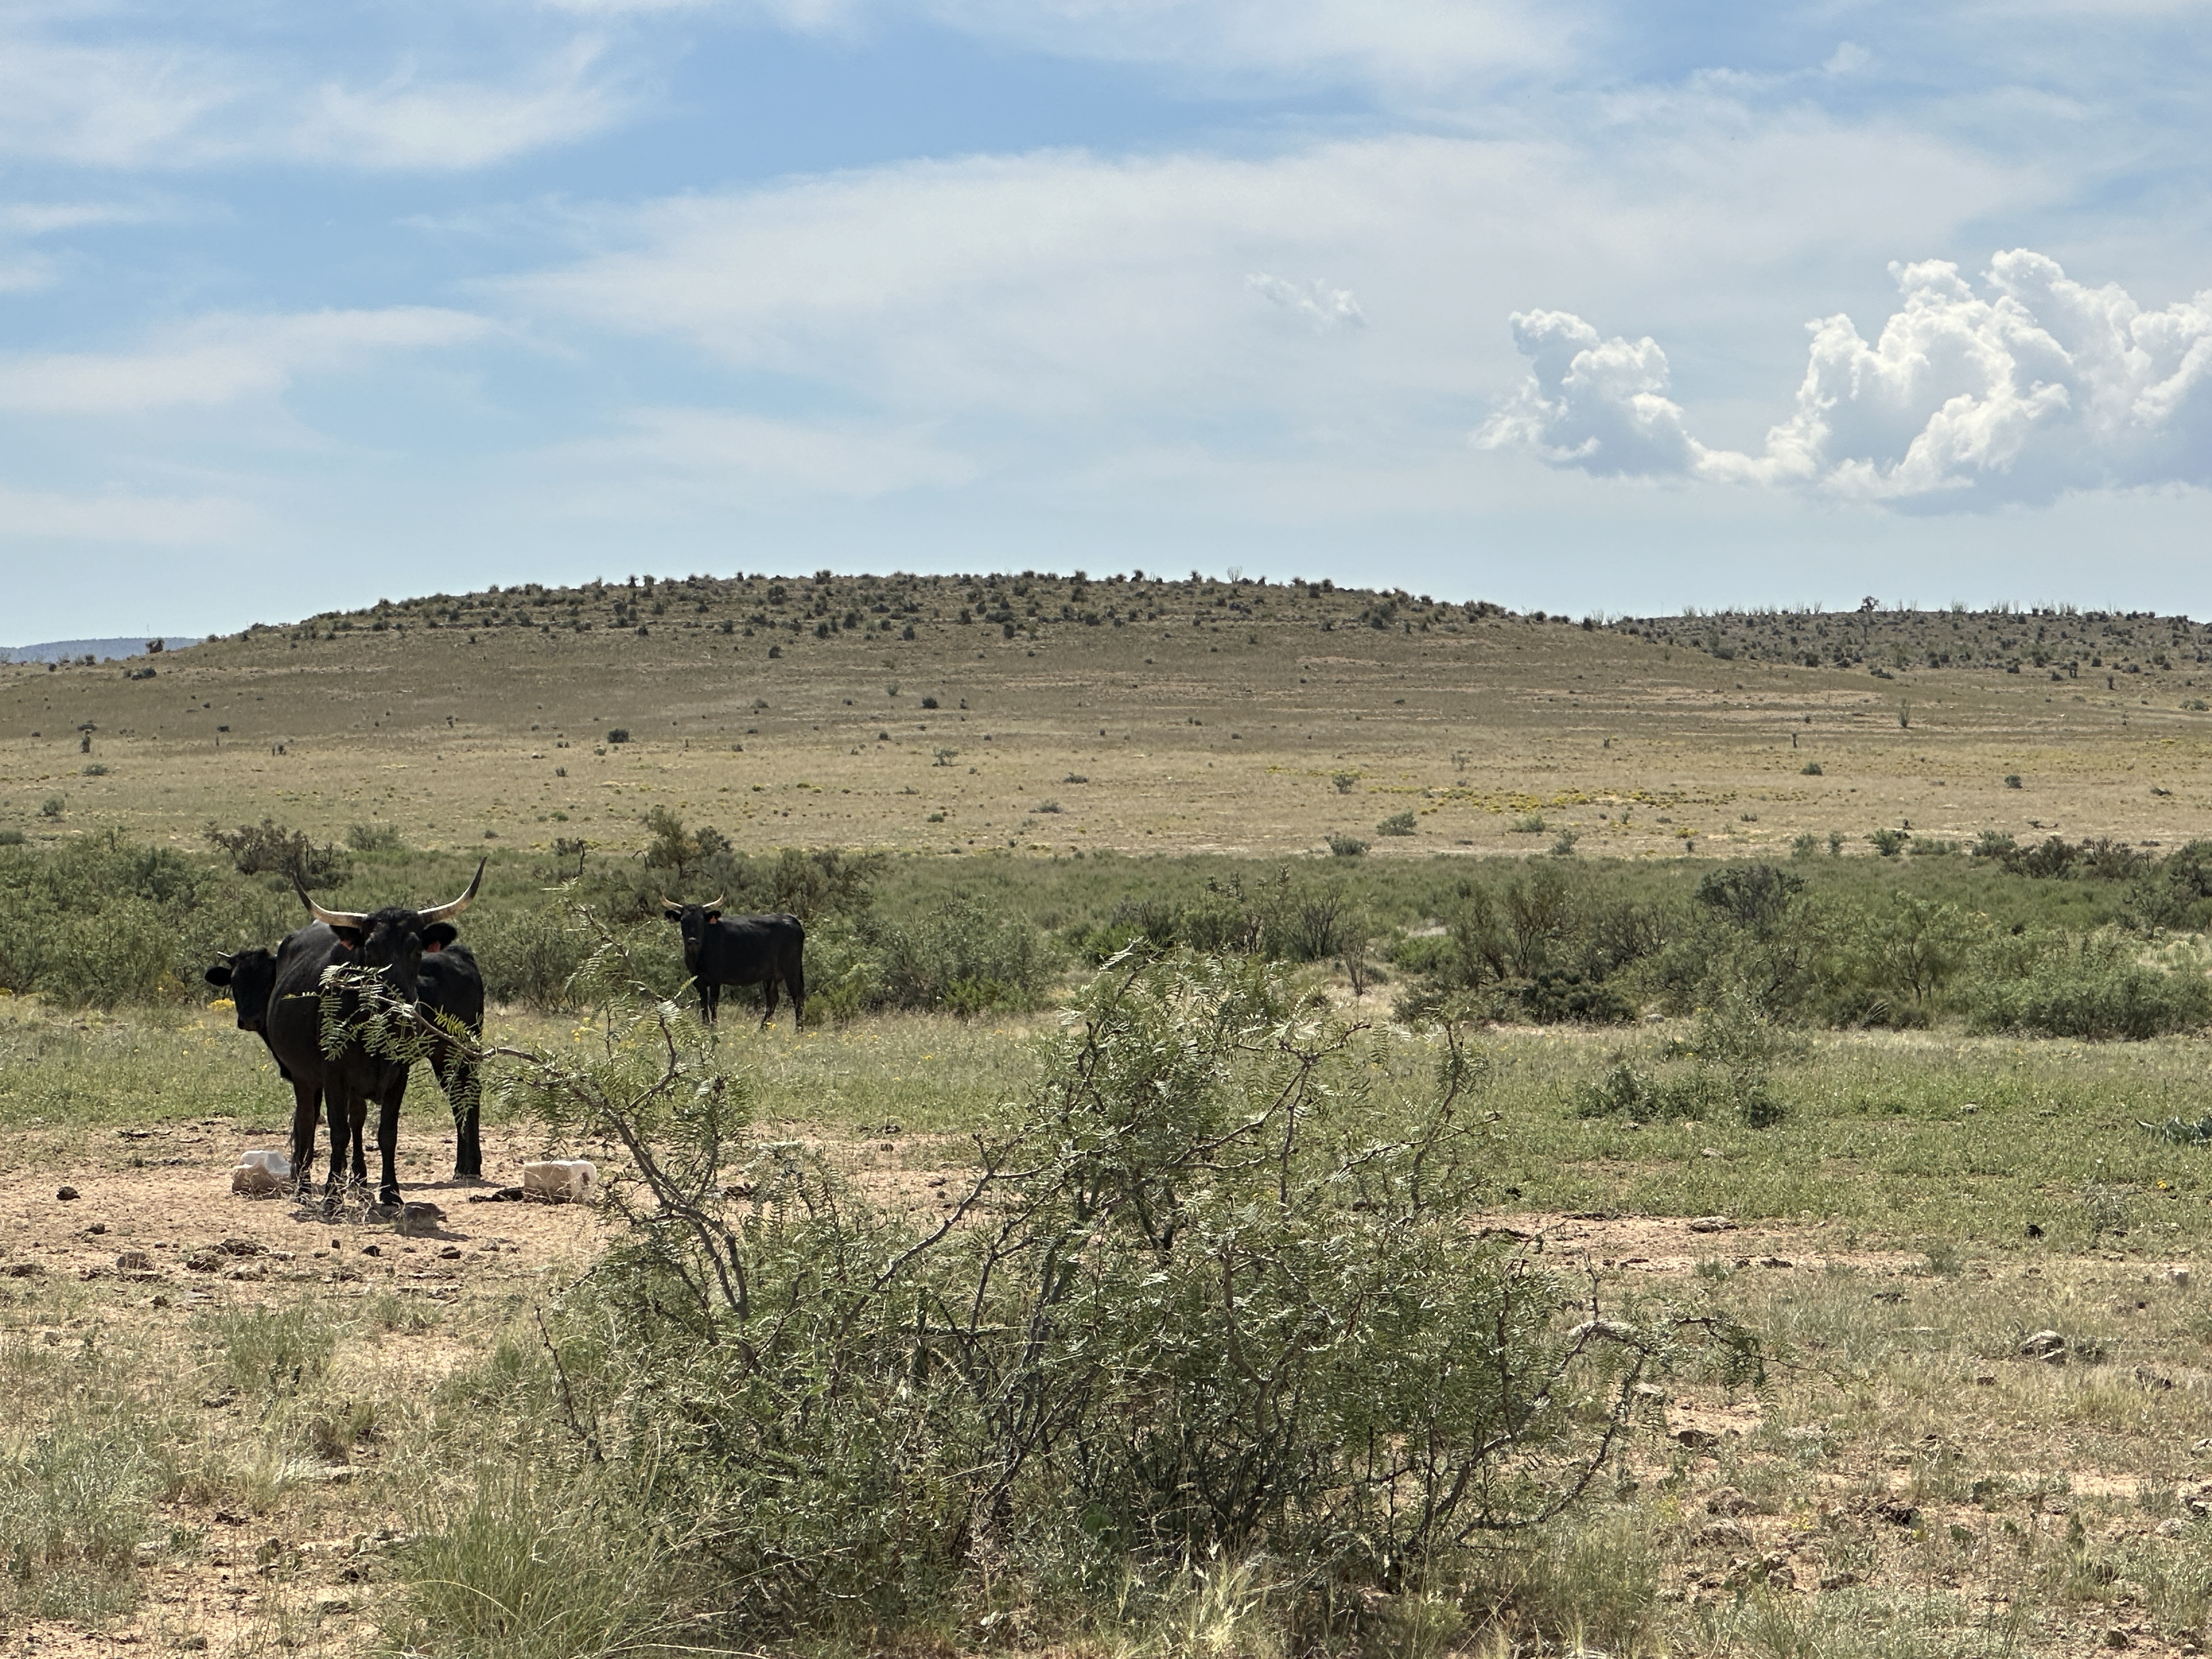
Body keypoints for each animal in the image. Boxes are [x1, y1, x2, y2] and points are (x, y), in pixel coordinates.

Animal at [262, 862, 483, 1207]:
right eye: (371, 949)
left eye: (416, 949)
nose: (396, 1001)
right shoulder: (334, 1074)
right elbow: (339, 1131)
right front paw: (333, 1194)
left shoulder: (399, 1073)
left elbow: (387, 1132)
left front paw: (390, 1192)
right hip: (305, 1076)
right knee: (309, 1121)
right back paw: (305, 1188)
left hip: (456, 1051)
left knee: (462, 1095)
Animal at [661, 898, 806, 1028]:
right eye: (683, 921)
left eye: (702, 921)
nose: (692, 941)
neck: (698, 956)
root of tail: (790, 919)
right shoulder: (698, 981)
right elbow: (703, 1004)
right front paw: (705, 1025)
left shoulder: (715, 980)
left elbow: (713, 1003)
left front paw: (714, 1026)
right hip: (770, 976)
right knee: (773, 1000)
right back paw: (762, 1028)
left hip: (791, 969)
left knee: (798, 997)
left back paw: (798, 1030)